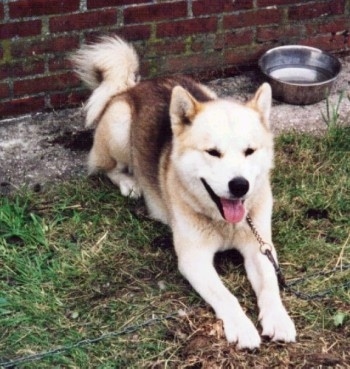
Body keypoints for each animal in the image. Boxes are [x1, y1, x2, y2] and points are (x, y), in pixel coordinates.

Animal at [71, 35, 296, 348]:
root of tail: (132, 87)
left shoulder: (259, 247)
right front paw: (242, 326)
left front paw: (278, 318)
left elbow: (270, 286)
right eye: (212, 152)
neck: (223, 223)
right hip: (119, 127)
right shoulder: (194, 259)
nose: (240, 185)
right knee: (107, 168)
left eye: (250, 151)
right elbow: (226, 296)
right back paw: (130, 183)